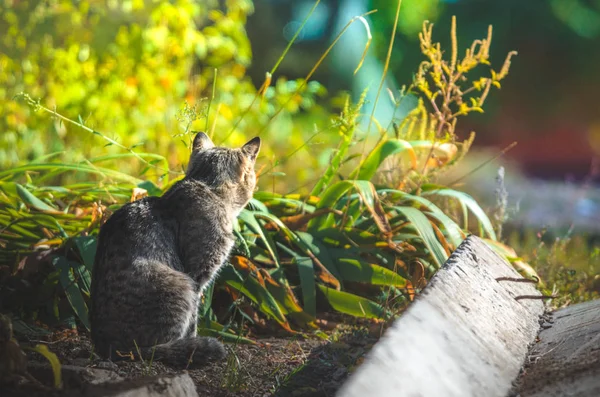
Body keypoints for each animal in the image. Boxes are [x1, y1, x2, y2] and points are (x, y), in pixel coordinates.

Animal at [89, 131, 260, 366]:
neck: (209, 187)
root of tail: (106, 346)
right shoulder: (197, 277)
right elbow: (193, 321)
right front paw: (192, 343)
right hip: (178, 283)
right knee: (152, 349)